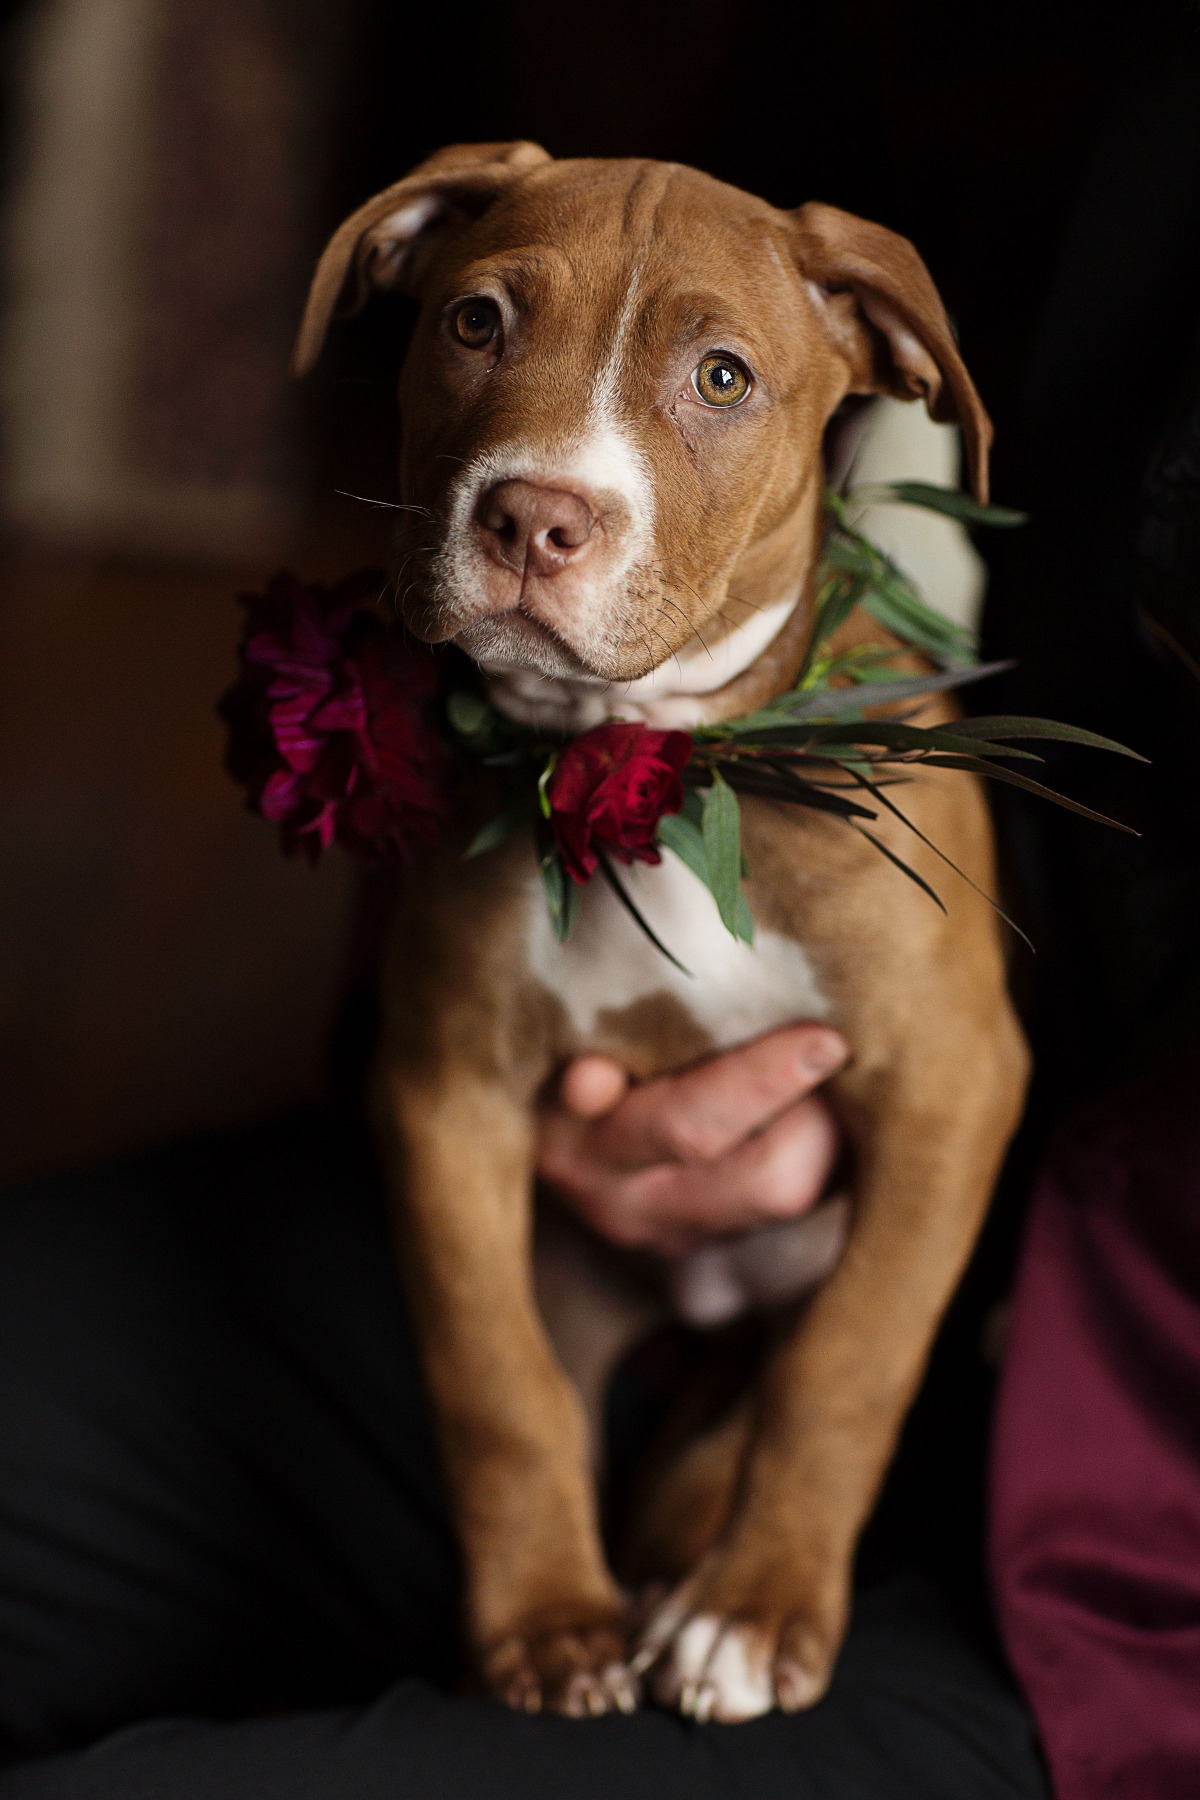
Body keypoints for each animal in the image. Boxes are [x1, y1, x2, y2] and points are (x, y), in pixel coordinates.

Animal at [295, 147, 1029, 1720]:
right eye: (475, 323)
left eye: (722, 376)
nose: (532, 517)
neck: (653, 767)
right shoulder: (442, 1094)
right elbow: (492, 1379)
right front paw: (547, 1620)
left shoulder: (952, 1087)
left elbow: (852, 1361)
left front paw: (756, 1612)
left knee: (750, 1395)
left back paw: (694, 1571)